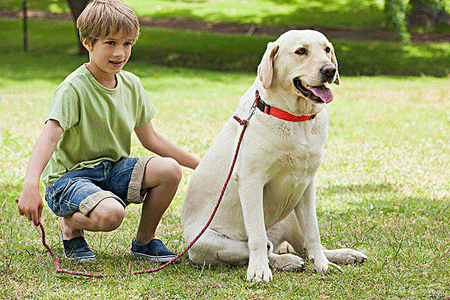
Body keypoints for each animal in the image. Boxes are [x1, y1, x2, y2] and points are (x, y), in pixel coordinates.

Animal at [181, 30, 368, 284]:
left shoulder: (306, 184)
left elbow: (314, 233)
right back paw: (286, 261)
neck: (296, 117)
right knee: (264, 248)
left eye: (327, 49)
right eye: (301, 51)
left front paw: (322, 265)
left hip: (291, 212)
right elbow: (257, 238)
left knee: (303, 247)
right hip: (205, 243)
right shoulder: (251, 182)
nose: (329, 70)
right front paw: (259, 271)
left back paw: (342, 255)